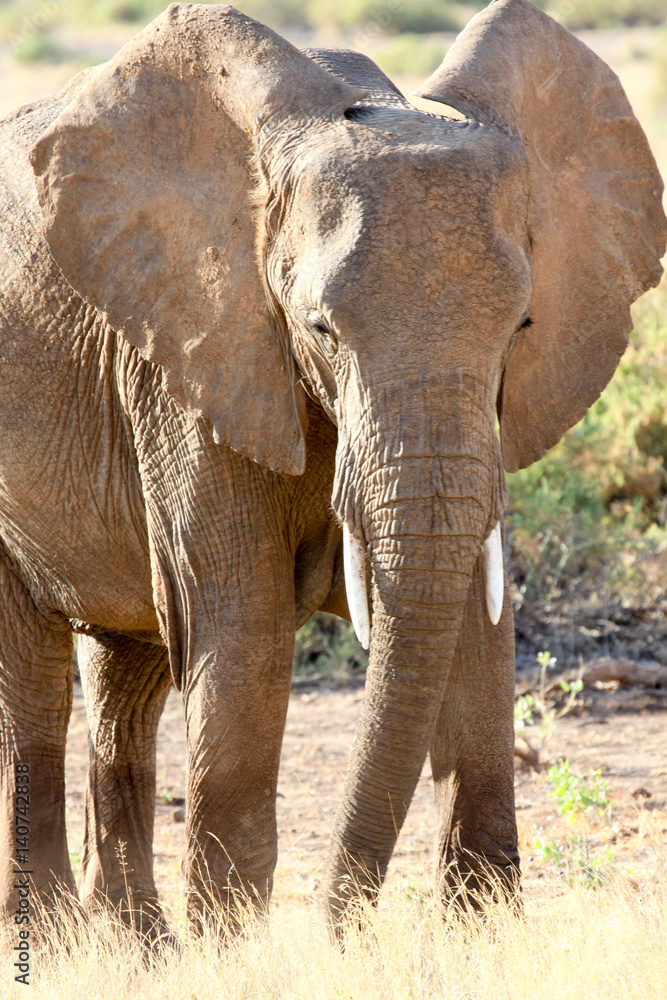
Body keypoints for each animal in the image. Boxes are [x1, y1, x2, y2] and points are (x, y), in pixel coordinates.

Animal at [0, 0, 664, 939]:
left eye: (521, 328)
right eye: (322, 329)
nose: (336, 923)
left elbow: (470, 613)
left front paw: (474, 937)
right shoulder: (188, 356)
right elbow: (239, 623)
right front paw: (233, 947)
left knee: (128, 680)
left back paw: (137, 948)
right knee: (35, 689)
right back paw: (53, 943)